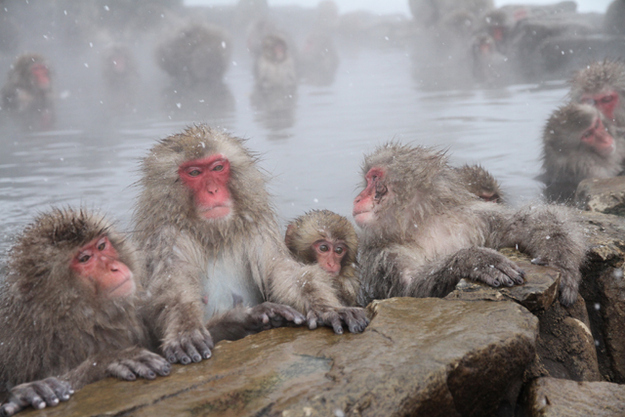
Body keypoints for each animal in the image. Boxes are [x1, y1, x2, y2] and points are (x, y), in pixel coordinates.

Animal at [132, 123, 366, 364]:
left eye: (217, 168)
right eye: (194, 173)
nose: (213, 190)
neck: (215, 236)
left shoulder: (257, 224)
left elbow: (281, 270)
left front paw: (328, 309)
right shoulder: (165, 237)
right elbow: (171, 288)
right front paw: (185, 330)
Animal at [354, 142, 588, 306]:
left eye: (374, 178)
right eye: (368, 180)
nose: (357, 198)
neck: (423, 224)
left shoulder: (475, 217)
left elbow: (522, 224)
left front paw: (562, 263)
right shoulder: (383, 254)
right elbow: (410, 291)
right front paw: (476, 260)